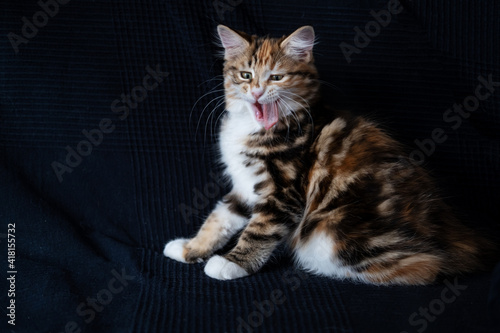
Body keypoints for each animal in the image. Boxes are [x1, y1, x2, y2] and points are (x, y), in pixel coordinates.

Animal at [165, 24, 496, 284]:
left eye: (276, 78)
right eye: (246, 75)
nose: (257, 92)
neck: (259, 128)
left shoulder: (283, 191)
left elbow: (258, 231)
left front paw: (231, 263)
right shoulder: (245, 187)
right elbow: (219, 218)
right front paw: (190, 248)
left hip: (337, 229)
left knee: (425, 267)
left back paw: (315, 264)